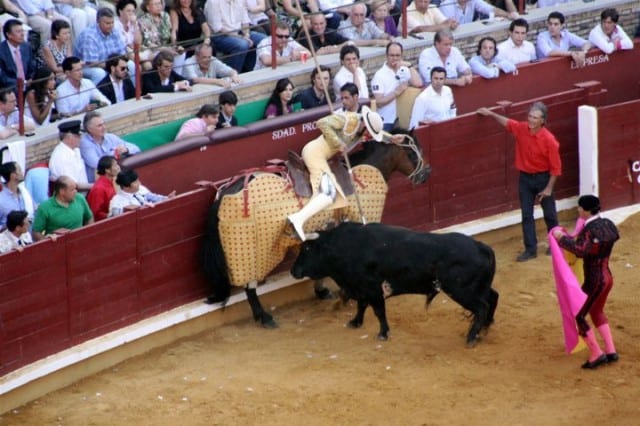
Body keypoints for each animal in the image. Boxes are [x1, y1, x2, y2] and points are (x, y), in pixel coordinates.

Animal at [200, 135, 430, 328]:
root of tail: (226, 191)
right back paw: (264, 317)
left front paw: (323, 291)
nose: (426, 174)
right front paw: (344, 296)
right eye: (412, 153)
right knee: (250, 284)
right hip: (253, 250)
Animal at [292, 221, 500, 348]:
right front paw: (355, 322)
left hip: (462, 291)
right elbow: (361, 306)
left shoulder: (372, 289)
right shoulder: (361, 288)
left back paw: (471, 337)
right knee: (493, 297)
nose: (293, 271)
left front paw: (383, 334)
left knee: (481, 307)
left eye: (307, 248)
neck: (343, 248)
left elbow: (378, 311)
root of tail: (481, 246)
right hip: (478, 288)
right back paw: (485, 328)